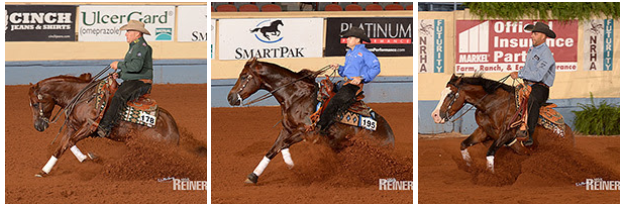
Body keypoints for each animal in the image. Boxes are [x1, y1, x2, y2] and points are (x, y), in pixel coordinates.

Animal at [28, 73, 179, 176]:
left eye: (35, 104)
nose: (37, 126)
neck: (83, 97)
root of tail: (174, 131)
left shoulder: (89, 127)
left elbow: (70, 142)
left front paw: (88, 157)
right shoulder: (72, 127)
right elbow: (62, 147)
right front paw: (44, 171)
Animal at [228, 57, 394, 184]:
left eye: (244, 76)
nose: (230, 97)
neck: (295, 96)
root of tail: (390, 137)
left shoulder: (306, 132)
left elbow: (283, 145)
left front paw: (292, 165)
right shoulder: (287, 129)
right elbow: (273, 150)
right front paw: (253, 176)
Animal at [432, 74, 572, 172]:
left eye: (450, 95)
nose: (435, 115)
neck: (493, 105)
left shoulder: (507, 134)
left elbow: (490, 153)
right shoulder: (483, 131)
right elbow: (463, 145)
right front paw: (470, 166)